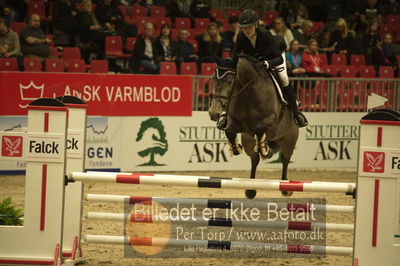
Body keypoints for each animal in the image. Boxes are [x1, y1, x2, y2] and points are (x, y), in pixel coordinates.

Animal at [208, 55, 298, 198]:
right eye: (214, 79)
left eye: (229, 81)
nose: (213, 113)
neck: (248, 93)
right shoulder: (236, 124)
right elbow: (229, 131)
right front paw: (235, 148)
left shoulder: (271, 124)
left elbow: (260, 130)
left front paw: (265, 149)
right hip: (248, 142)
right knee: (254, 159)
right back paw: (250, 189)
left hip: (289, 140)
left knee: (285, 159)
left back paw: (286, 187)